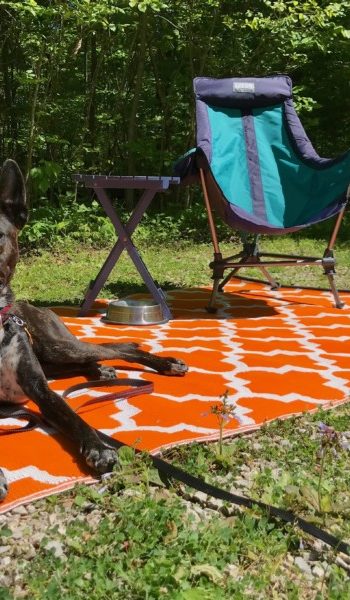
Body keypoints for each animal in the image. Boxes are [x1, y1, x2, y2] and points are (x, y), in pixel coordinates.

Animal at [0, 161, 187, 502]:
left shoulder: (40, 387)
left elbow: (73, 417)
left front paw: (99, 448)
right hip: (54, 358)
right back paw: (100, 370)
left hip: (58, 347)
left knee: (122, 346)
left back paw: (162, 364)